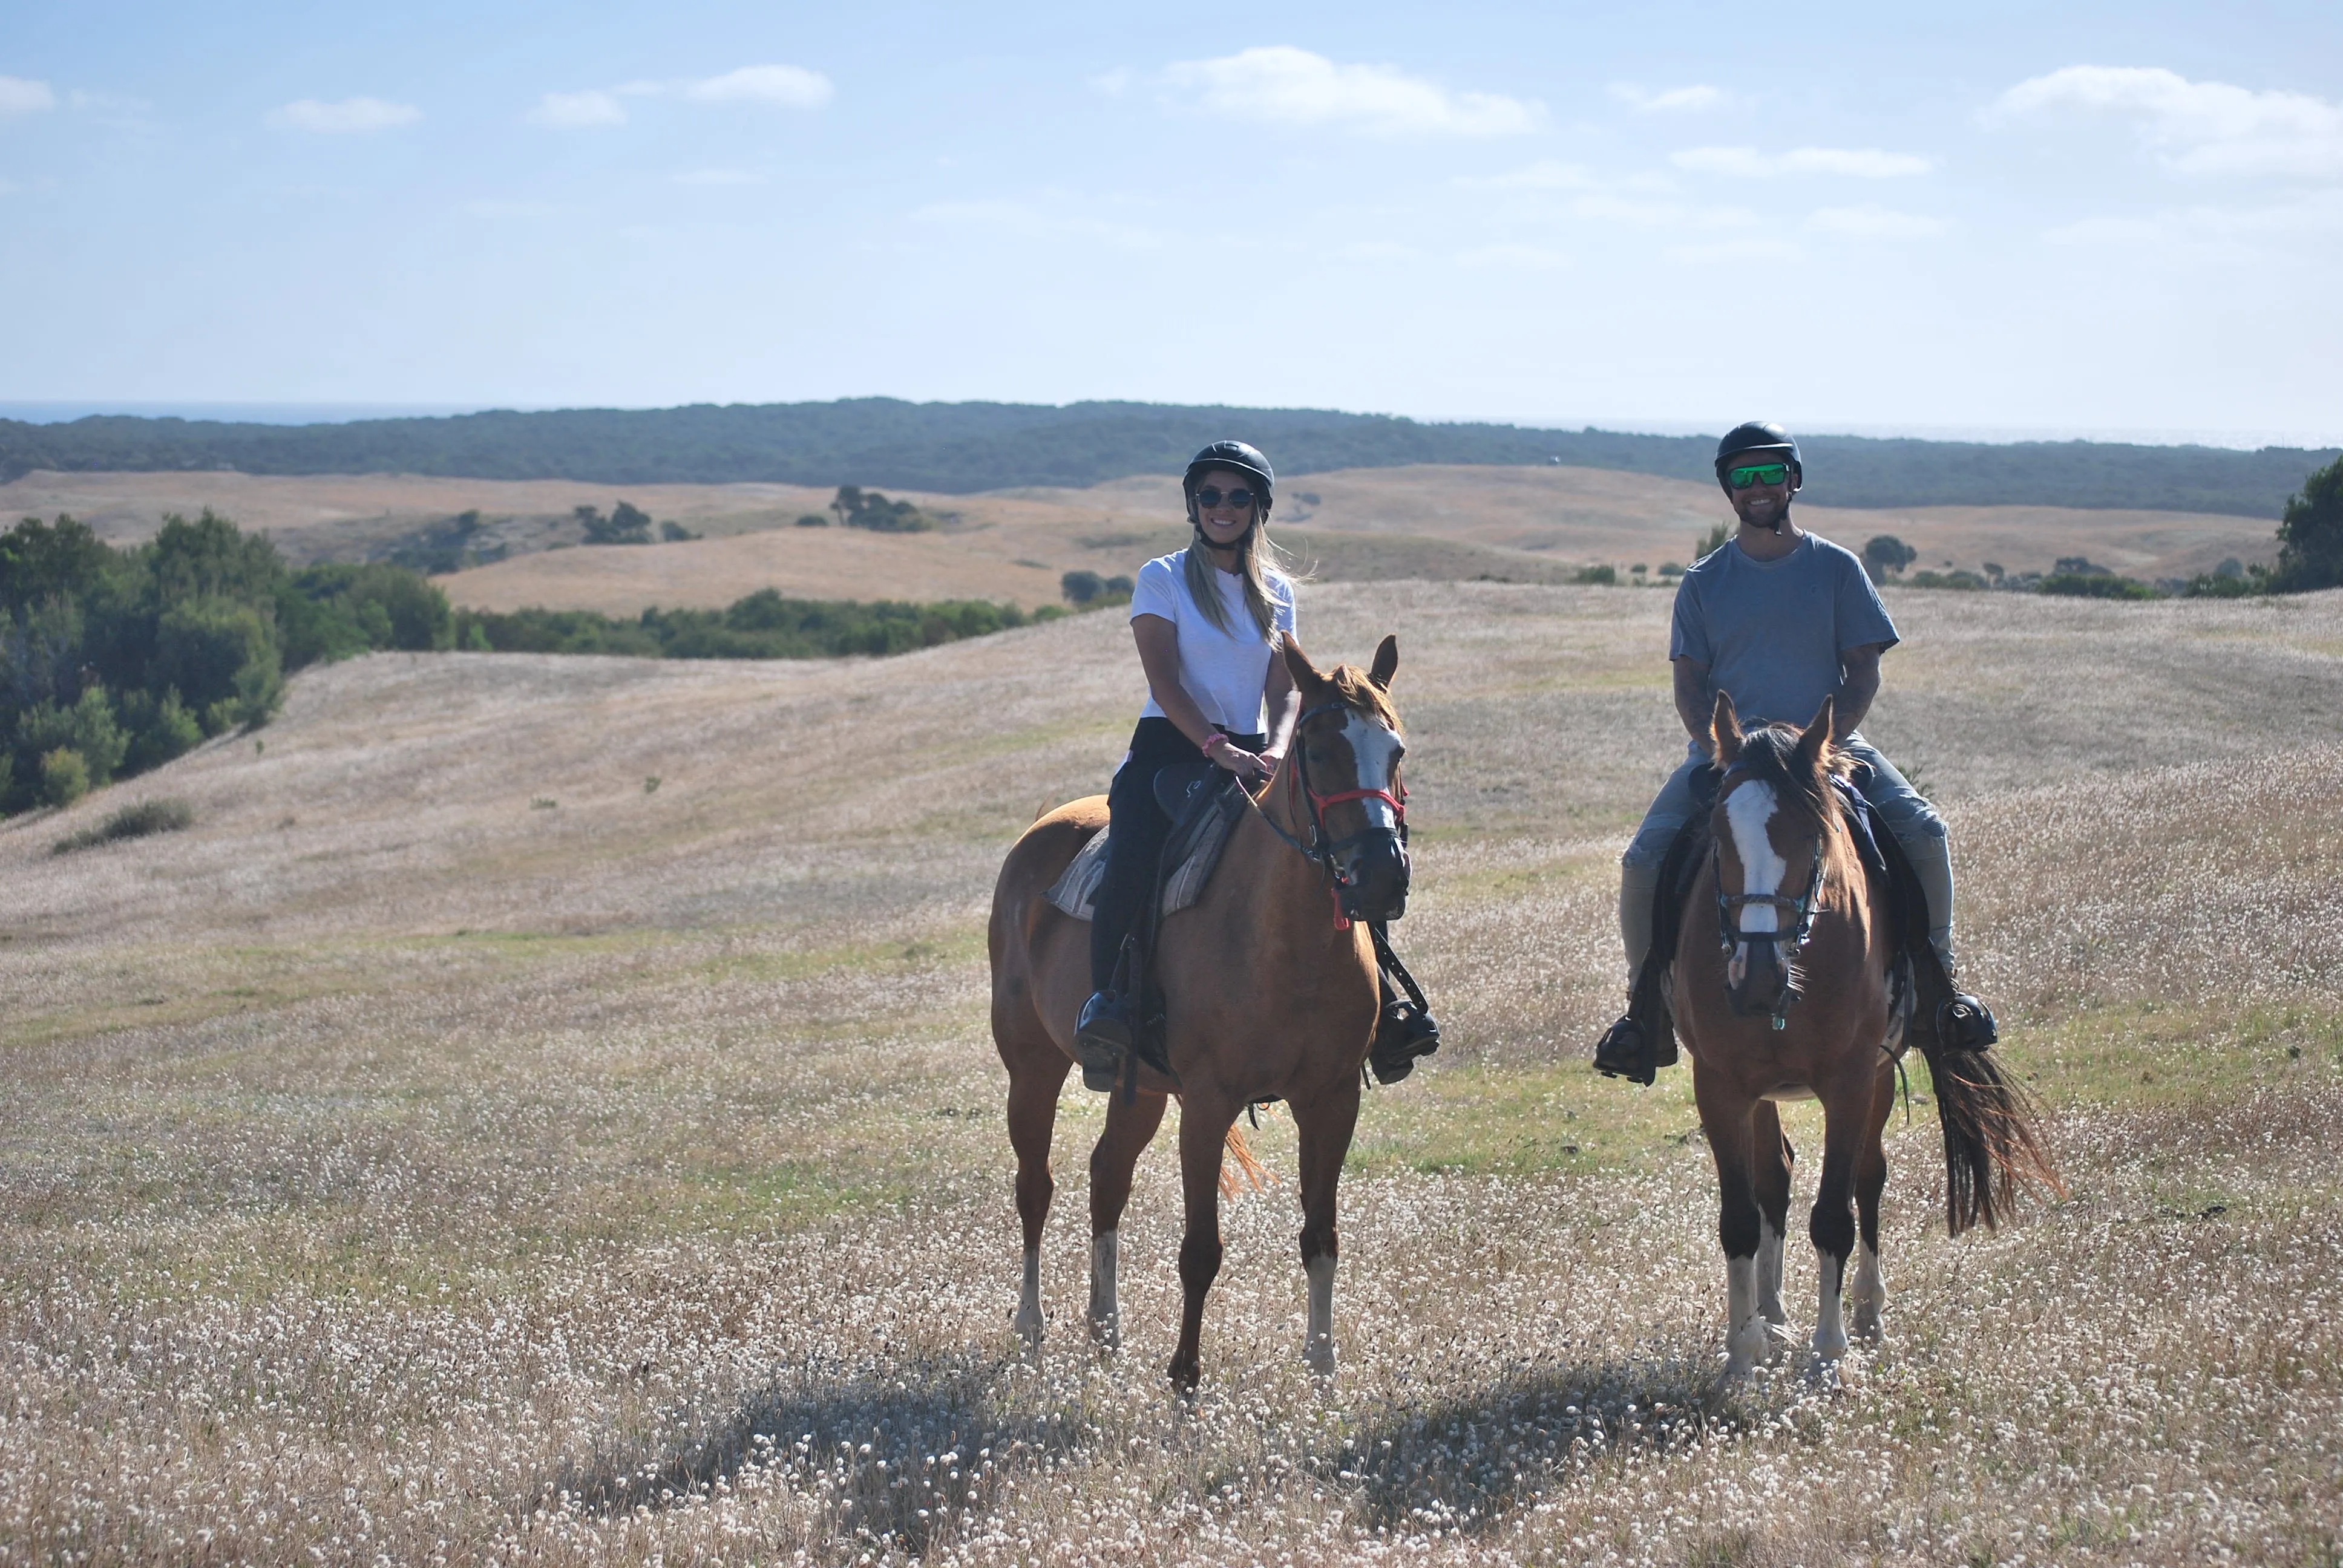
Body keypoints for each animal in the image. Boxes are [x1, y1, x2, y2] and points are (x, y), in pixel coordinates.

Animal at [987, 632, 1409, 1391]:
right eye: (1318, 751)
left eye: (1393, 751)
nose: (1381, 876)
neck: (1283, 939)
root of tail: (1039, 831)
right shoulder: (1208, 1102)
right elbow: (1200, 1249)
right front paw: (1184, 1378)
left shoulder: (1331, 1099)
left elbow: (1320, 1235)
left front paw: (1323, 1372)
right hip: (1031, 1069)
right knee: (1035, 1187)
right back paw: (1032, 1327)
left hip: (1140, 1088)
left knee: (1106, 1176)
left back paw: (1105, 1330)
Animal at [1676, 691, 2062, 1379]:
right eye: (1717, 837)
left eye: (1811, 836)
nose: (1756, 979)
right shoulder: (1719, 1086)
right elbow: (1739, 1219)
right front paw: (1742, 1353)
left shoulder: (1851, 1082)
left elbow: (1835, 1214)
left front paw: (1830, 1354)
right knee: (1775, 1177)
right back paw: (1773, 1318)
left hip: (1878, 1077)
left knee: (1867, 1179)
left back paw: (1865, 1315)